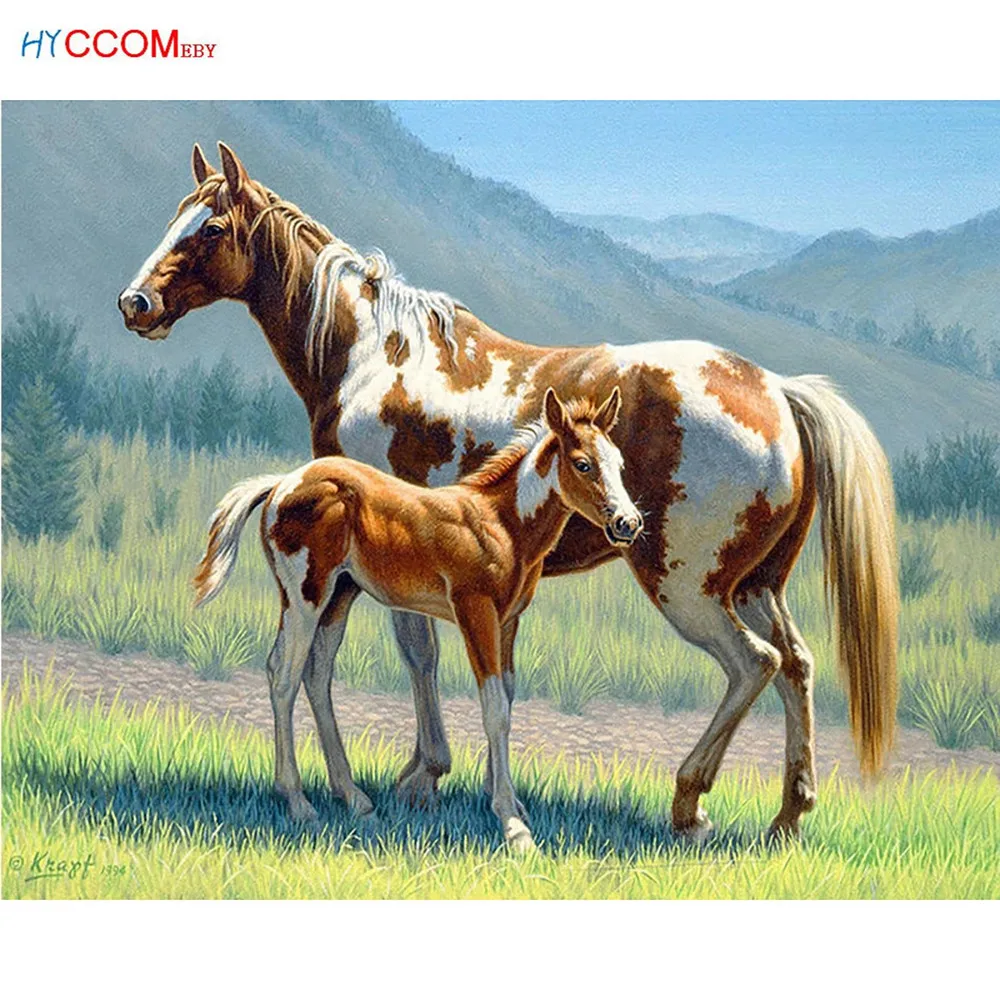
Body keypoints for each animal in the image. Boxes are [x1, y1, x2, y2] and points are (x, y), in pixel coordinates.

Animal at [193, 386, 640, 849]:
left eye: (620, 464)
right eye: (583, 463)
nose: (629, 523)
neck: (501, 524)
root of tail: (283, 483)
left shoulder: (508, 621)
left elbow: (507, 700)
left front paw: (514, 807)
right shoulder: (474, 611)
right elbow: (494, 708)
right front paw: (512, 826)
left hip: (339, 597)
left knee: (316, 674)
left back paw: (355, 799)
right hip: (304, 598)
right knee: (283, 674)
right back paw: (299, 804)